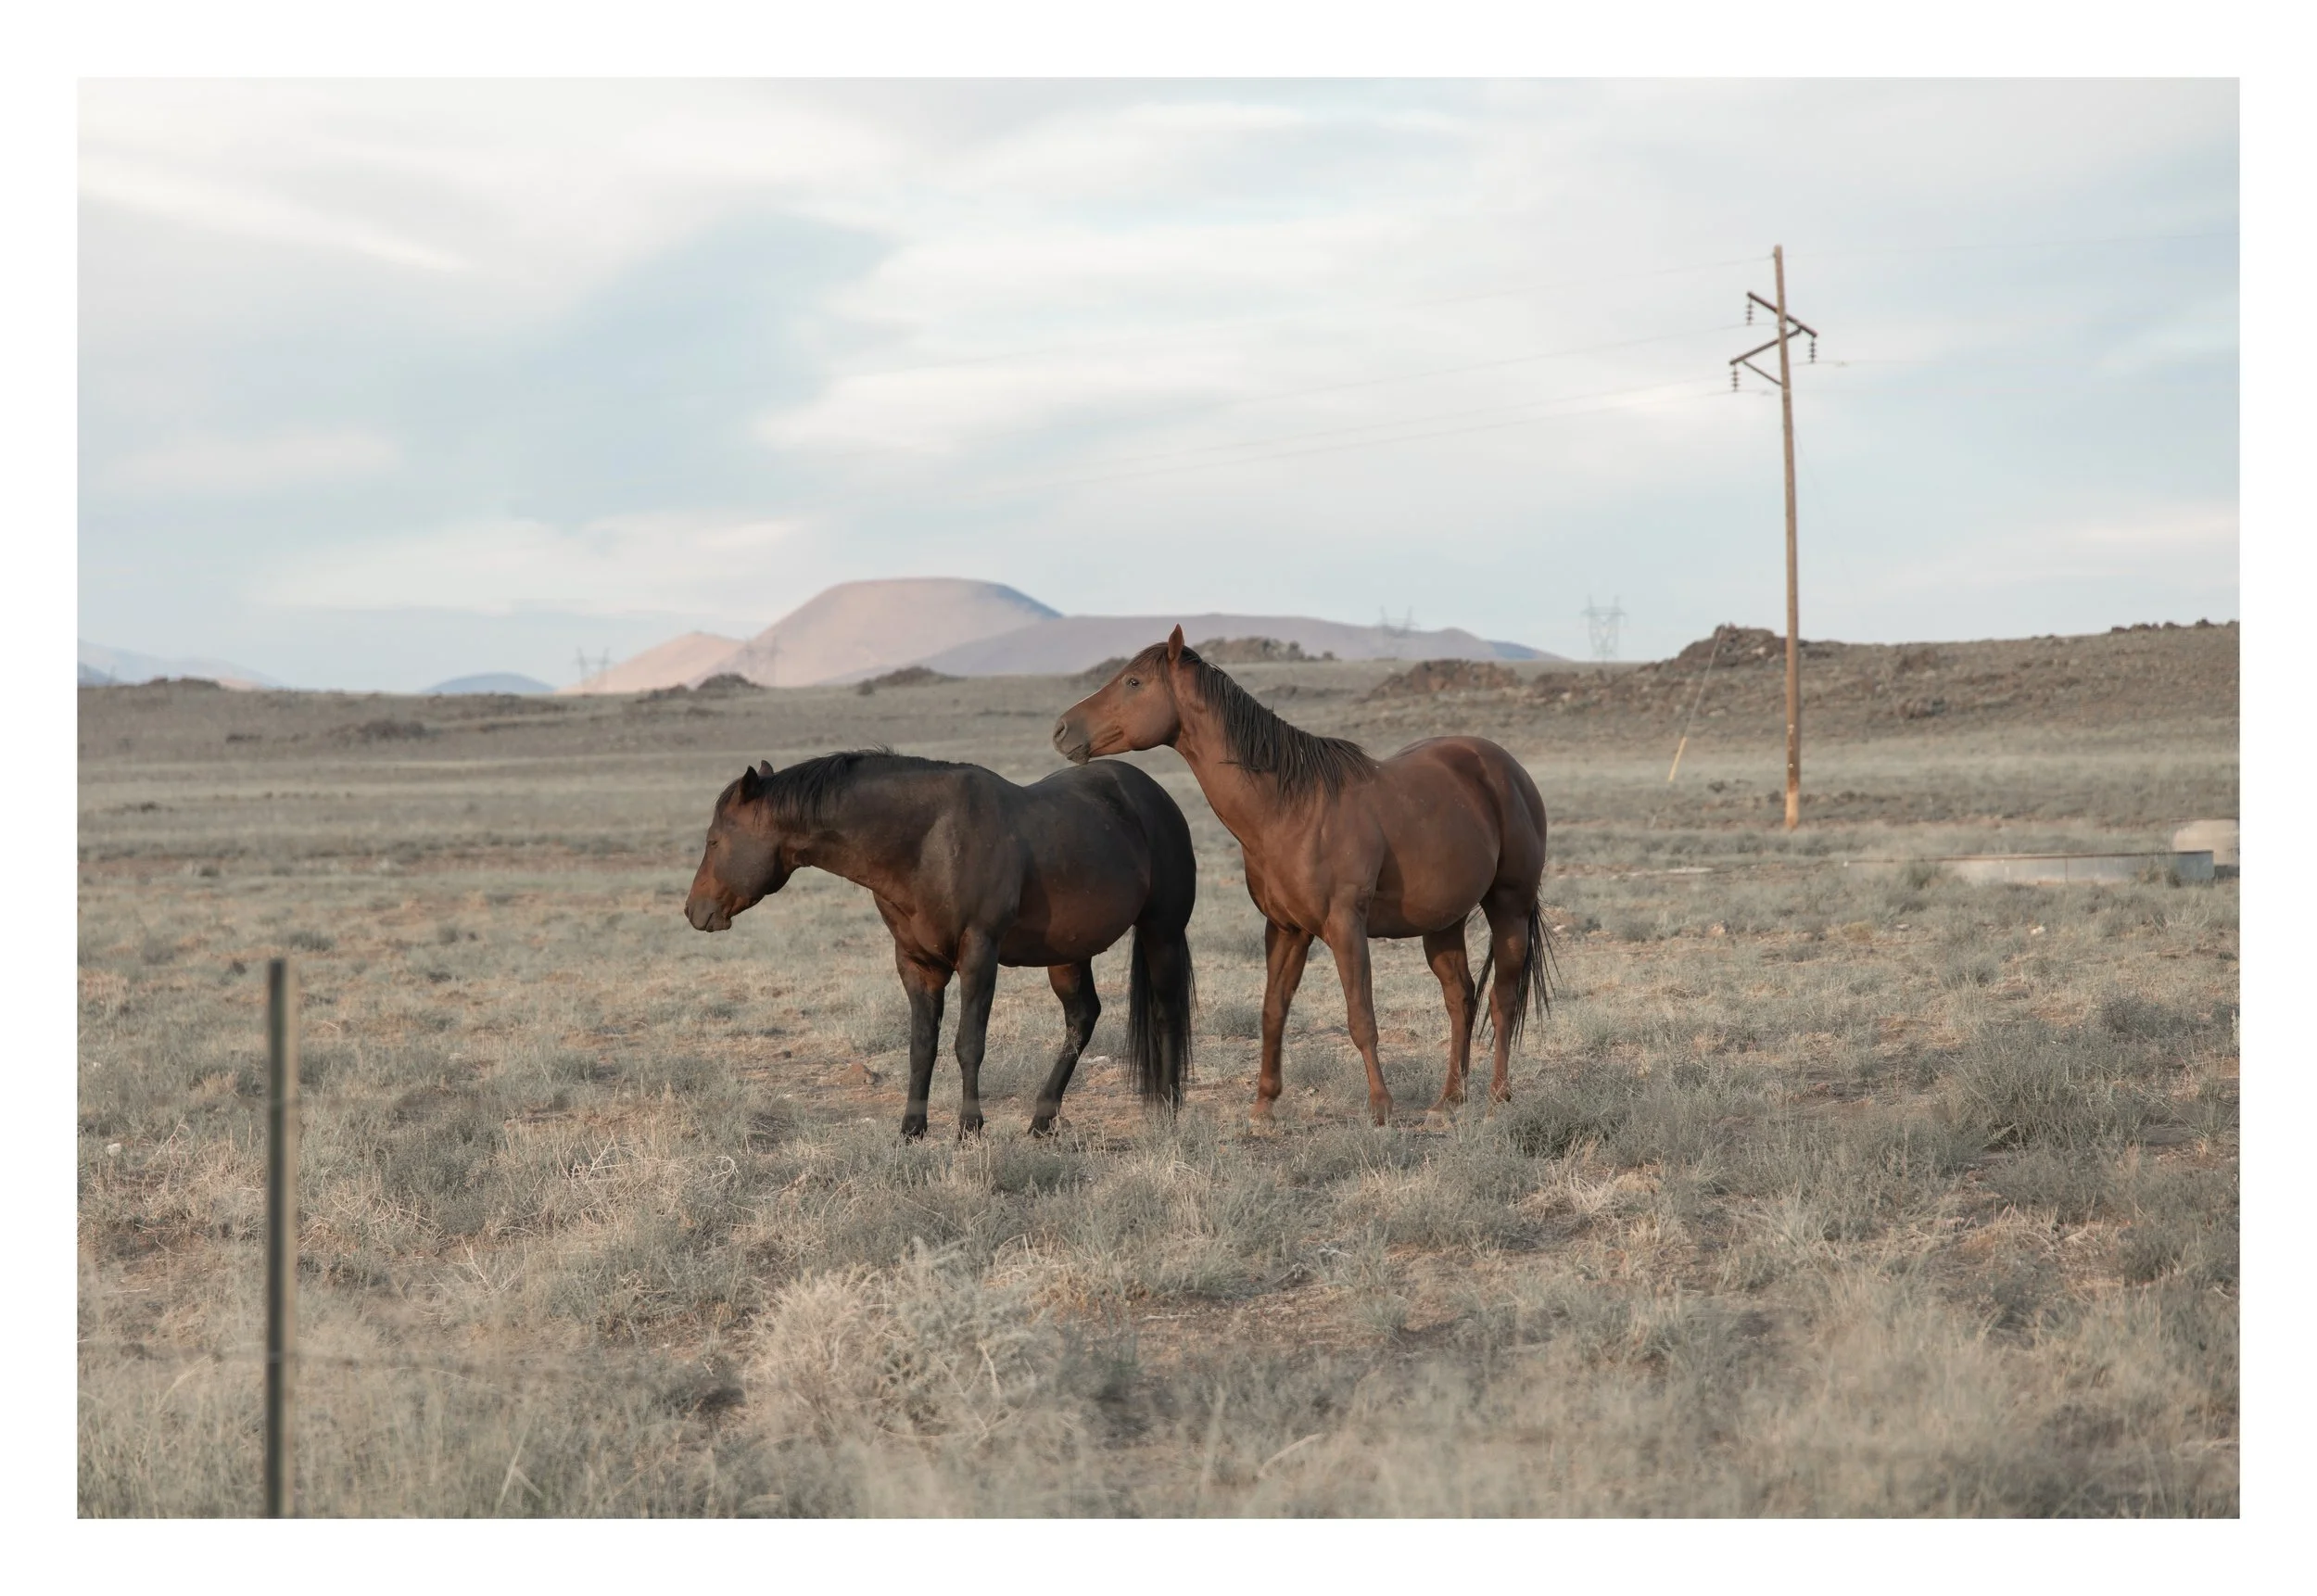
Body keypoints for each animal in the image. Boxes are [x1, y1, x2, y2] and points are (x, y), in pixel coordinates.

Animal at [684, 749, 1197, 1139]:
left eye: (714, 841)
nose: (693, 911)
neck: (925, 843)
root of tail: (1153, 795)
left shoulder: (978, 954)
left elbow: (968, 1042)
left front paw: (969, 1127)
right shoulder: (916, 964)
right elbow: (922, 1045)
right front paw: (912, 1127)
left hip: (1162, 933)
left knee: (1167, 1013)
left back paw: (1169, 1107)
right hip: (1068, 955)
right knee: (1082, 1018)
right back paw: (1043, 1119)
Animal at [1052, 627, 1548, 1127]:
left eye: (1134, 682)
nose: (1061, 730)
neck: (1290, 808)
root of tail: (1508, 770)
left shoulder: (1346, 928)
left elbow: (1361, 1018)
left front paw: (1381, 1107)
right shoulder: (1286, 930)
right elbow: (1273, 1012)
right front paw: (1263, 1105)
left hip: (1509, 908)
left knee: (1502, 999)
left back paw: (1498, 1095)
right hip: (1443, 923)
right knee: (1460, 998)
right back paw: (1450, 1098)